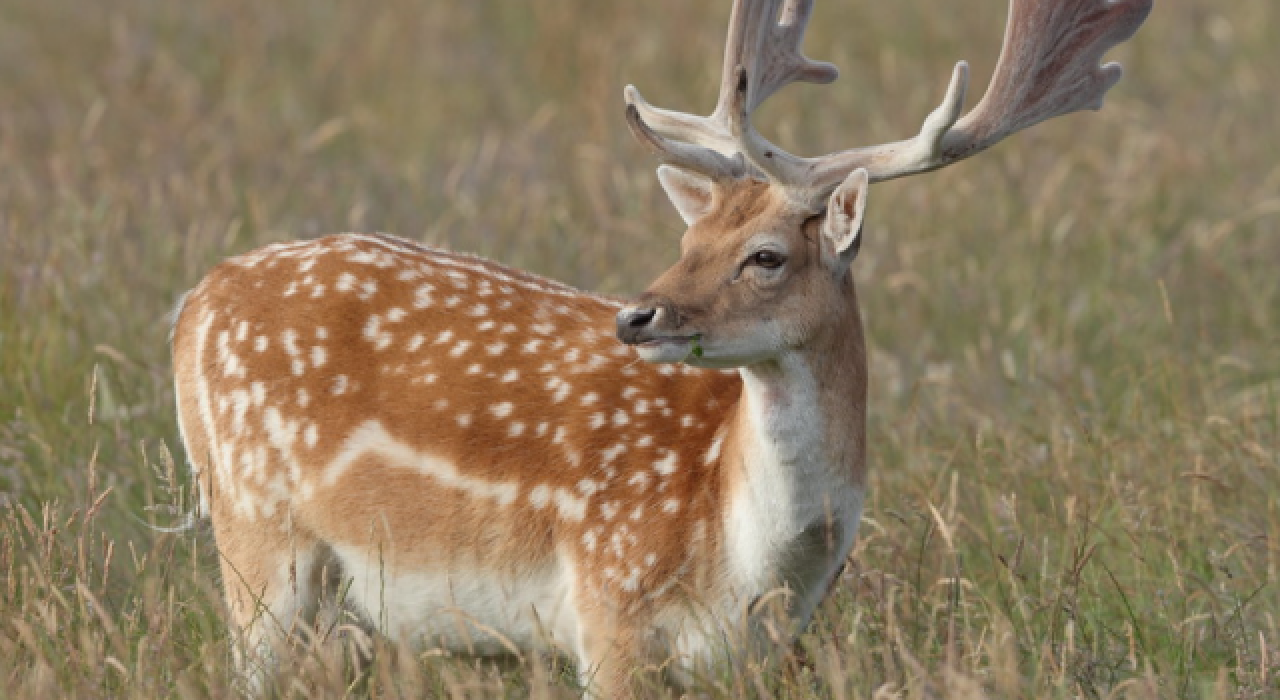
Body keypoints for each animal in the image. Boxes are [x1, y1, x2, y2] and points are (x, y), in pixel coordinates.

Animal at [167, 0, 1152, 691]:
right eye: (690, 239)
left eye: (766, 254)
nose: (637, 317)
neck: (747, 556)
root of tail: (194, 303)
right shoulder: (607, 607)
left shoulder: (750, 659)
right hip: (257, 538)